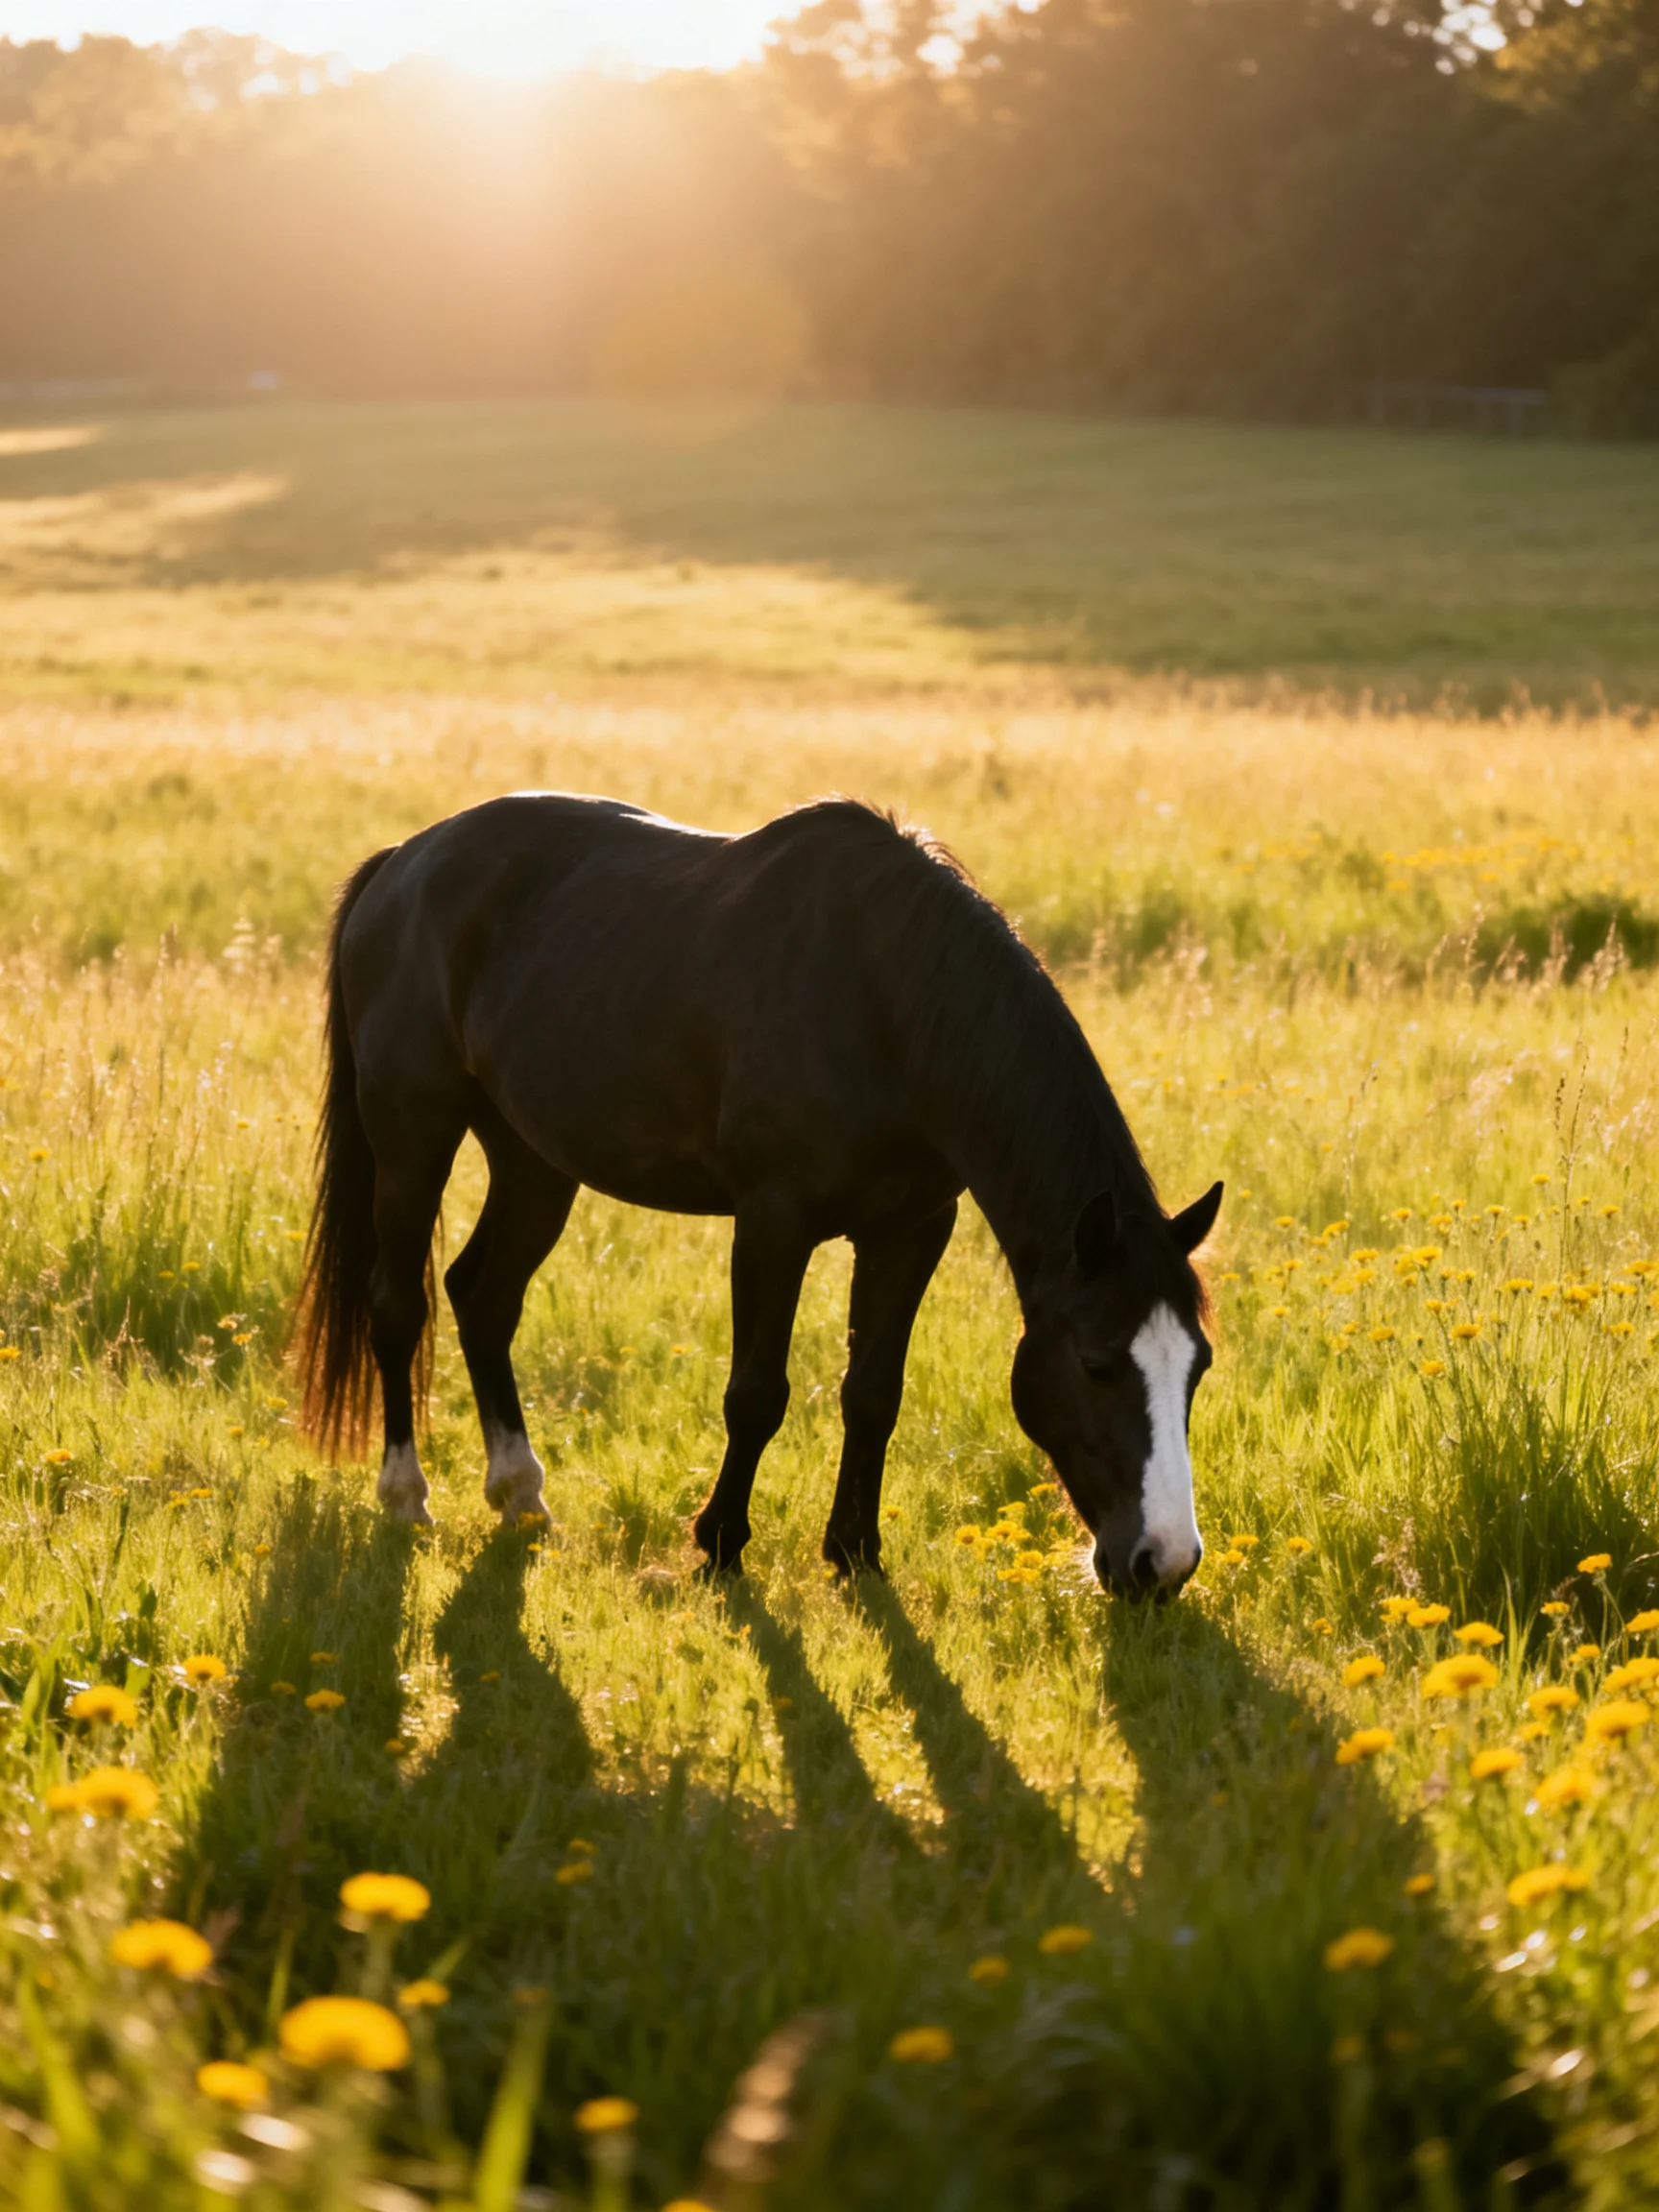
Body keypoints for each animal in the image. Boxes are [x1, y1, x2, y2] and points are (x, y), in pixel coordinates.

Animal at [297, 794, 1222, 1595]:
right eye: (1097, 1364)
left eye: (1199, 1365)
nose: (1164, 1564)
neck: (883, 1001)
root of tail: (402, 864)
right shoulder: (773, 1222)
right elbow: (756, 1395)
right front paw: (720, 1545)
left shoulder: (912, 1228)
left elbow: (873, 1394)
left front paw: (855, 1553)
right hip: (411, 1134)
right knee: (398, 1305)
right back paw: (406, 1498)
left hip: (533, 1159)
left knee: (484, 1297)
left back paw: (521, 1494)